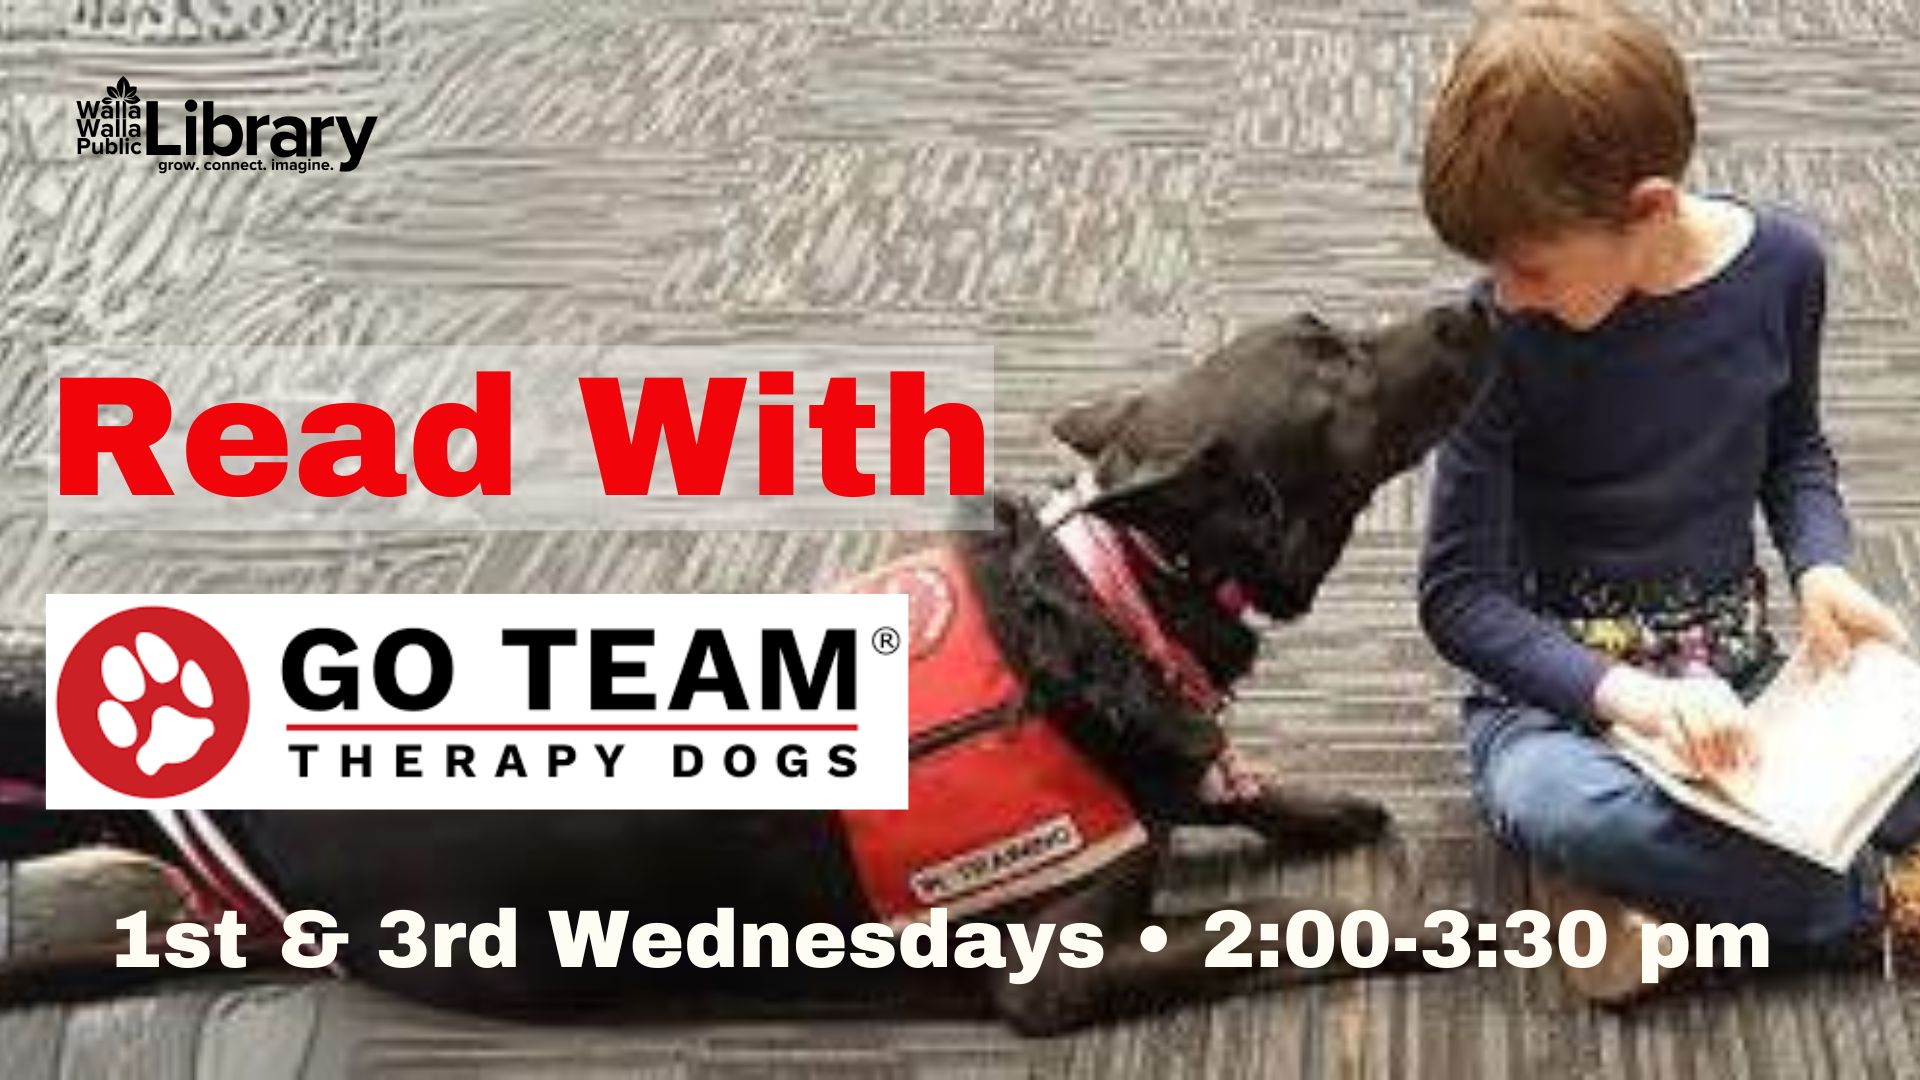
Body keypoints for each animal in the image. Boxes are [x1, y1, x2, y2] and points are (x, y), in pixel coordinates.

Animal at [0, 299, 1489, 1022]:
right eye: (1334, 359)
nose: (1469, 306)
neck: (1108, 601)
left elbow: (1236, 785)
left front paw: (1305, 799)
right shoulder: (1051, 972)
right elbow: (1258, 932)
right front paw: (1430, 926)